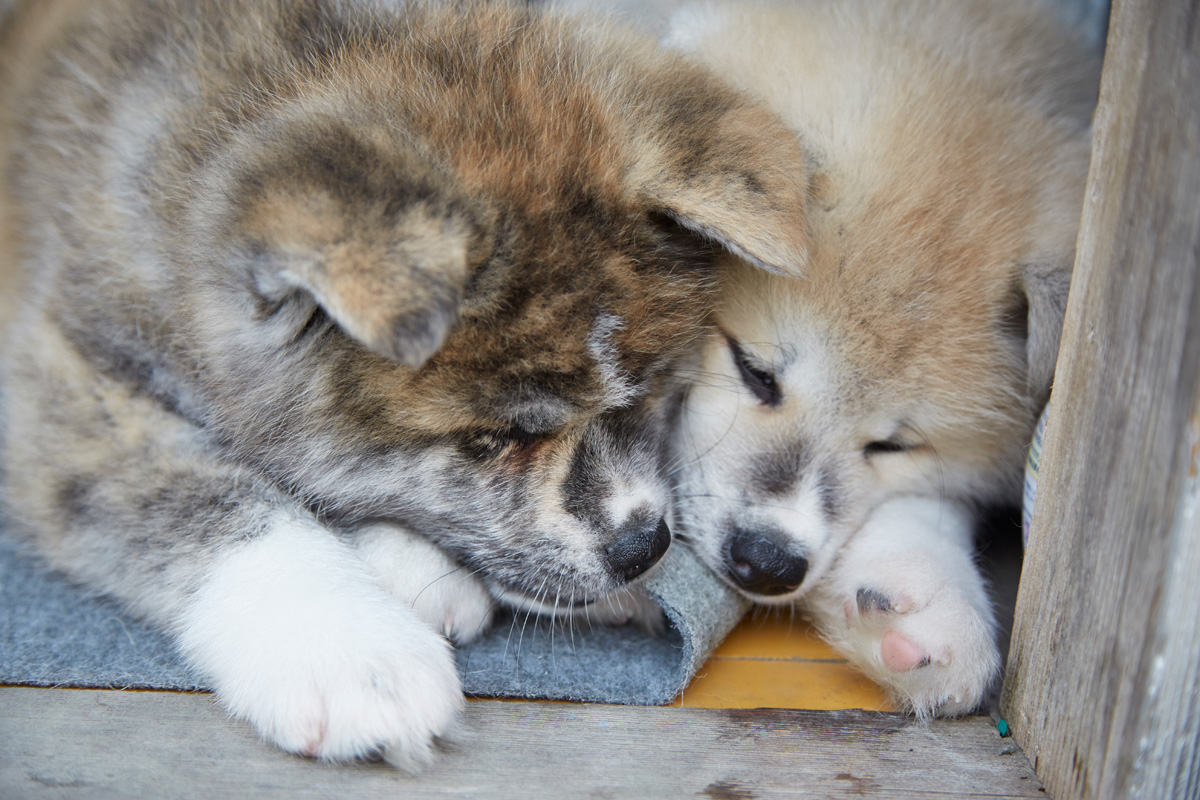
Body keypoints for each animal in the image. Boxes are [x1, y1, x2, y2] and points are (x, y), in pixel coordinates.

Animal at [0, 0, 811, 767]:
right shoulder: (57, 366)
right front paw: (348, 647)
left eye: (647, 389)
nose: (642, 548)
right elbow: (205, 497)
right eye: (494, 439)